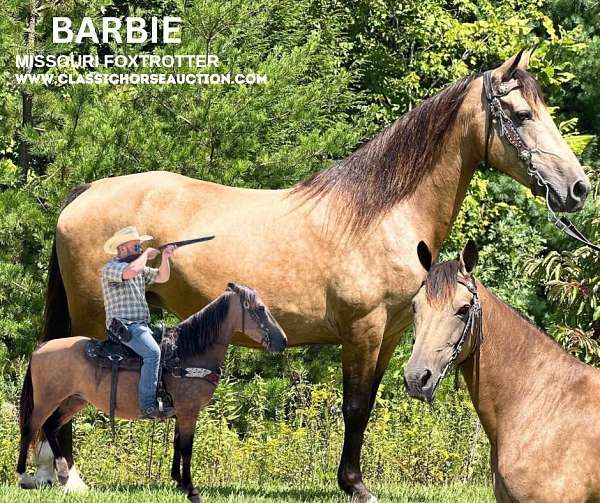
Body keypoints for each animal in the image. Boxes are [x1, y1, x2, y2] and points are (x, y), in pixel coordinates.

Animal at [18, 284, 286, 503]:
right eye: (260, 309)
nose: (282, 341)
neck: (188, 353)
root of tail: (41, 347)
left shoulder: (181, 411)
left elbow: (177, 444)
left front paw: (178, 482)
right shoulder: (188, 411)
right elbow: (187, 448)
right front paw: (191, 490)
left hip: (73, 400)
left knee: (51, 427)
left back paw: (64, 475)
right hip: (47, 400)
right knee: (31, 428)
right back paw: (24, 477)